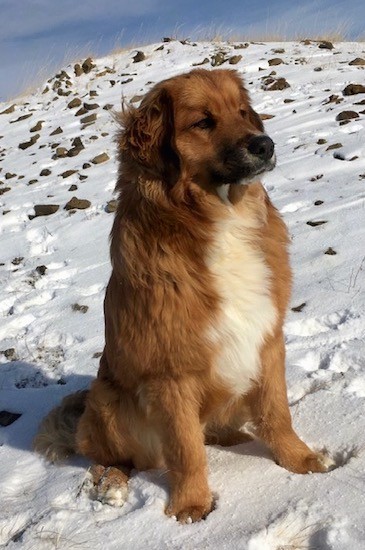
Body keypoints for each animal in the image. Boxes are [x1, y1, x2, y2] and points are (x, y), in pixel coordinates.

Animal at [34, 68, 332, 520]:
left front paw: (299, 460)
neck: (218, 218)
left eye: (242, 112)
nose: (264, 144)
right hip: (108, 403)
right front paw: (192, 505)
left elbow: (277, 412)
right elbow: (186, 447)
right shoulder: (170, 372)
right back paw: (110, 485)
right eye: (203, 122)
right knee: (113, 457)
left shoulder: (266, 338)